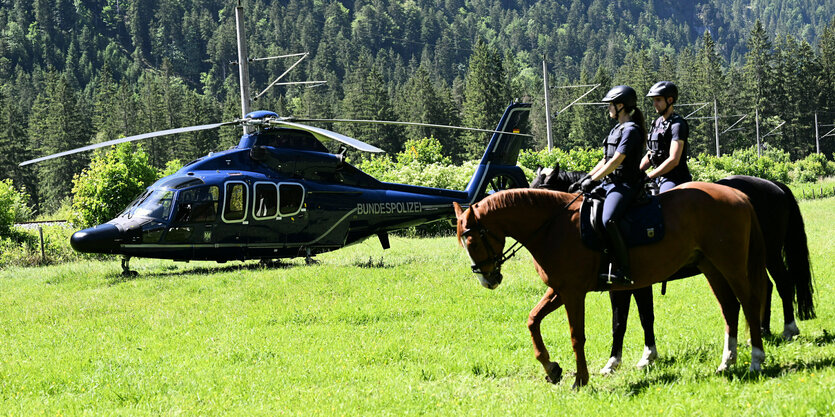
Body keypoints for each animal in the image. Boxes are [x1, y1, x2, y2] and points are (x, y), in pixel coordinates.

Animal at [458, 184, 772, 388]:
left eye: (472, 240)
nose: (488, 280)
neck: (554, 226)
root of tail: (737, 194)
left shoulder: (573, 293)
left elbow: (577, 336)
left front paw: (580, 380)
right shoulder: (559, 290)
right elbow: (533, 320)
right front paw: (552, 368)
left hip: (730, 264)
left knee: (748, 302)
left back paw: (756, 359)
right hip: (710, 266)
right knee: (730, 308)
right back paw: (727, 362)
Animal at [532, 166, 812, 370]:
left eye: (540, 189)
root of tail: (773, 186)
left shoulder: (635, 283)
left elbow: (638, 318)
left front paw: (643, 357)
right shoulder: (626, 285)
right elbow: (626, 320)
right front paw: (625, 360)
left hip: (767, 255)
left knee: (781, 284)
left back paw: (787, 329)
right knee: (764, 287)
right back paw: (762, 330)